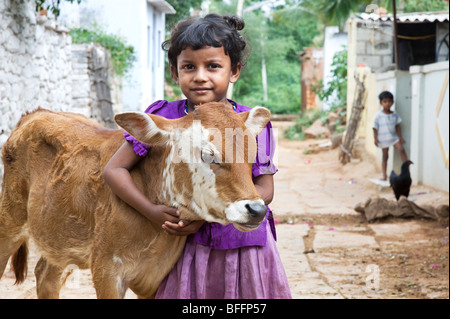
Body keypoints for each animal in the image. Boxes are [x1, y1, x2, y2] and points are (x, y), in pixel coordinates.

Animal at [0, 103, 270, 300]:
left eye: (252, 155)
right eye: (208, 154)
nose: (256, 209)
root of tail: (34, 114)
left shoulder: (155, 279)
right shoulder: (107, 271)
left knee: (46, 275)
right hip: (9, 220)